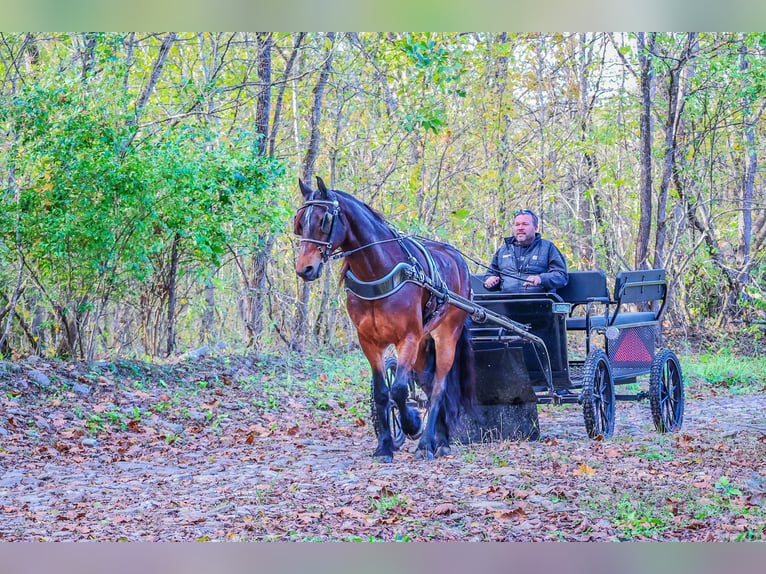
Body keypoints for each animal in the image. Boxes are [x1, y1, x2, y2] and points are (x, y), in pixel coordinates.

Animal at [292, 176, 474, 464]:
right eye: (299, 222)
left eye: (323, 220)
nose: (304, 269)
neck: (379, 271)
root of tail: (457, 259)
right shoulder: (369, 341)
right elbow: (381, 393)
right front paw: (385, 446)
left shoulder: (408, 338)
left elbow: (398, 389)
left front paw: (412, 423)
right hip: (424, 345)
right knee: (429, 383)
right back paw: (441, 440)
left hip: (445, 336)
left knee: (439, 388)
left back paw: (427, 444)